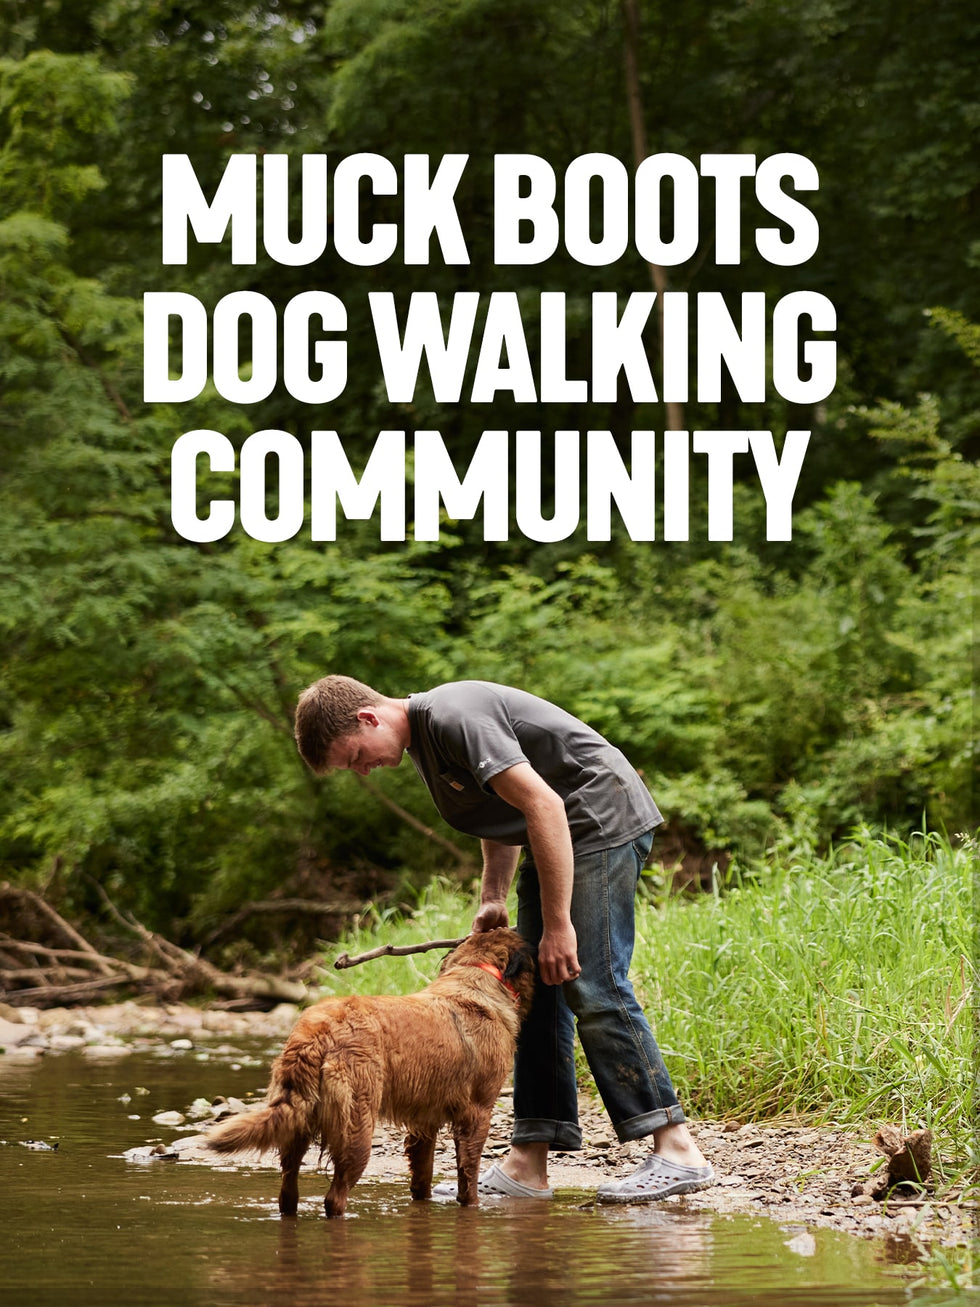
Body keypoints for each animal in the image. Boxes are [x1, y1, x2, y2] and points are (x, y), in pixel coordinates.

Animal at [206, 930, 538, 1212]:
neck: (476, 975)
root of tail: (317, 1032)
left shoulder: (424, 1122)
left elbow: (422, 1176)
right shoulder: (477, 1114)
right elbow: (467, 1176)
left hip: (296, 1128)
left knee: (288, 1193)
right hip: (357, 1127)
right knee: (335, 1197)